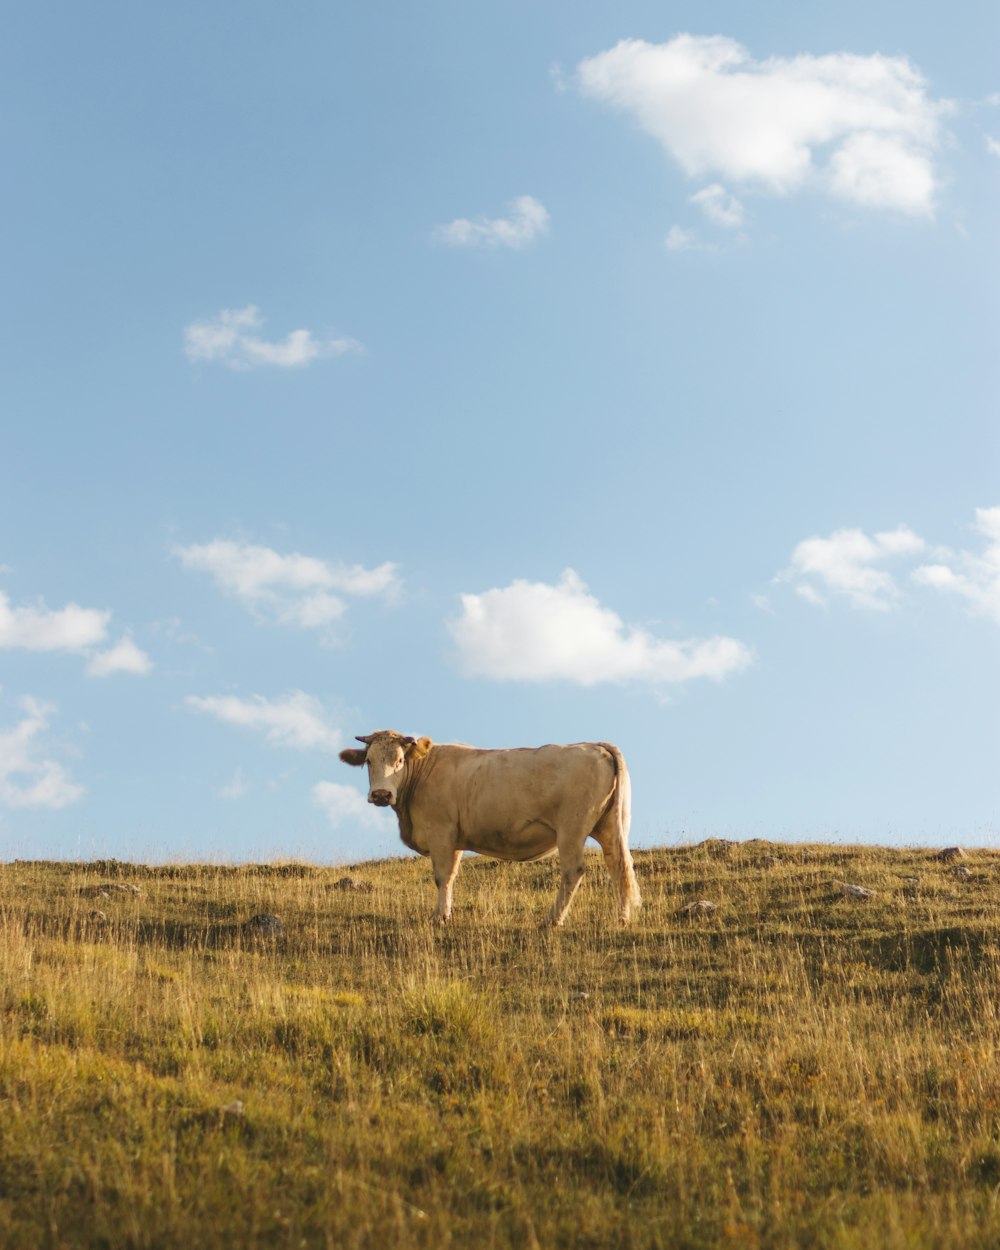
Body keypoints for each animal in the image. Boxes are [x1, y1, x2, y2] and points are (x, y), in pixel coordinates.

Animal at [337, 730, 640, 925]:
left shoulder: (440, 832)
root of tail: (596, 745)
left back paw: (552, 919)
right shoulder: (454, 838)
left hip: (571, 829)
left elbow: (441, 876)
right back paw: (622, 917)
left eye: (399, 760)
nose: (381, 794)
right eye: (368, 761)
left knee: (573, 871)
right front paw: (445, 913)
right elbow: (451, 876)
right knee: (620, 865)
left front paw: (438, 917)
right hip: (611, 826)